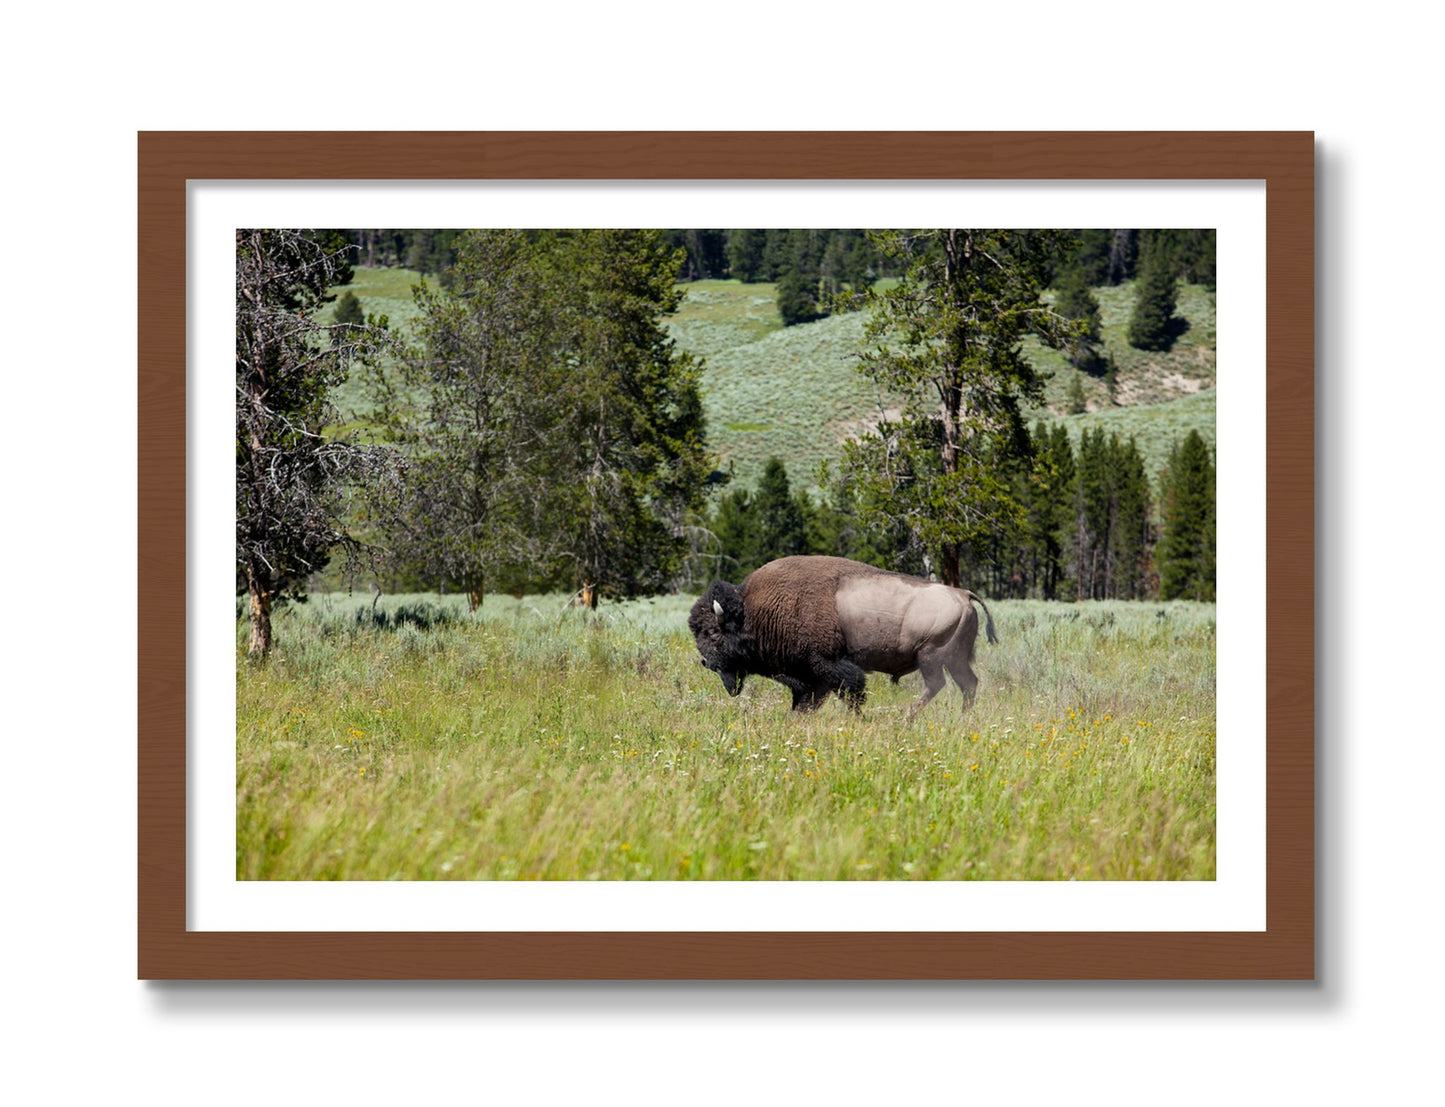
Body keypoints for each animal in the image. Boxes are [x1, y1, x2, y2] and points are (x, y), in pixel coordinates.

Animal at [687, 555, 997, 717]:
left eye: (713, 633)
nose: (706, 662)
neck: (754, 610)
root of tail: (963, 594)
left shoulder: (828, 665)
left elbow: (851, 692)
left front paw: (859, 719)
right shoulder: (810, 677)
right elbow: (807, 702)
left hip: (931, 656)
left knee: (937, 684)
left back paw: (907, 717)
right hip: (954, 659)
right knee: (968, 684)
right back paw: (962, 717)